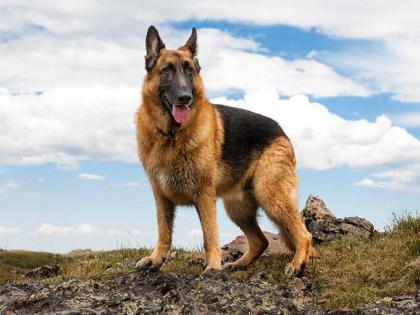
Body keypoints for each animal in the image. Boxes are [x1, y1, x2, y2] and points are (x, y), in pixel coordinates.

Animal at [136, 25, 314, 278]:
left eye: (189, 70)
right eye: (166, 70)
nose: (185, 97)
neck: (172, 135)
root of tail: (281, 130)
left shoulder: (204, 196)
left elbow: (209, 235)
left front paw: (212, 266)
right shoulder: (161, 196)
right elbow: (164, 232)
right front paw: (155, 260)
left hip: (270, 194)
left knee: (304, 234)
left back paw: (298, 264)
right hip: (237, 207)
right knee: (261, 241)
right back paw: (239, 264)